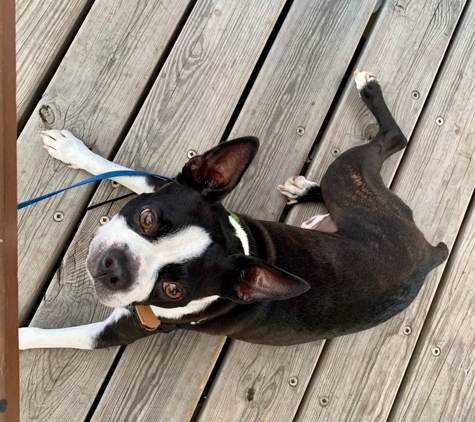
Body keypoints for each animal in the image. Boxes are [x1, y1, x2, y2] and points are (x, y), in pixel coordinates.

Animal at [19, 71, 450, 350]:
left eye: (172, 291)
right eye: (147, 218)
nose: (116, 267)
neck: (241, 242)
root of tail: (430, 254)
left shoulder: (124, 330)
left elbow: (51, 336)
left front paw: (20, 339)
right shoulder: (174, 185)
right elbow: (121, 170)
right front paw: (73, 150)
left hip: (345, 176)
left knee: (394, 138)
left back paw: (368, 88)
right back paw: (303, 190)